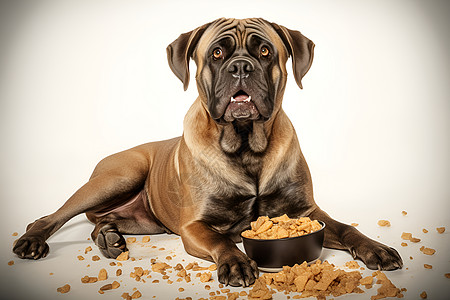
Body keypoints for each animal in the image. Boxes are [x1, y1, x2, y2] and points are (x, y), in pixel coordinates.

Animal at [12, 17, 402, 288]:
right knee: (49, 217)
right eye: (217, 53)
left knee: (101, 224)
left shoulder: (306, 211)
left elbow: (345, 228)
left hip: (143, 221)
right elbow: (220, 239)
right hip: (117, 177)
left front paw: (376, 248)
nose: (241, 66)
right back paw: (33, 241)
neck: (245, 145)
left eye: (264, 51)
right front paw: (236, 262)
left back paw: (109, 238)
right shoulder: (194, 226)